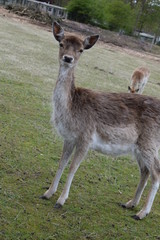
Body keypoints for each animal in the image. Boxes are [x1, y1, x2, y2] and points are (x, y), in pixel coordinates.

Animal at [41, 21, 160, 220]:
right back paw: (130, 203)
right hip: (139, 147)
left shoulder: (86, 137)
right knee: (144, 171)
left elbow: (73, 167)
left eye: (81, 50)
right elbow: (61, 163)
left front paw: (61, 200)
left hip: (150, 143)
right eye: (61, 43)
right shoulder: (69, 138)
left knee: (156, 173)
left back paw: (142, 213)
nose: (68, 58)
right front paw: (47, 193)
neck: (71, 109)